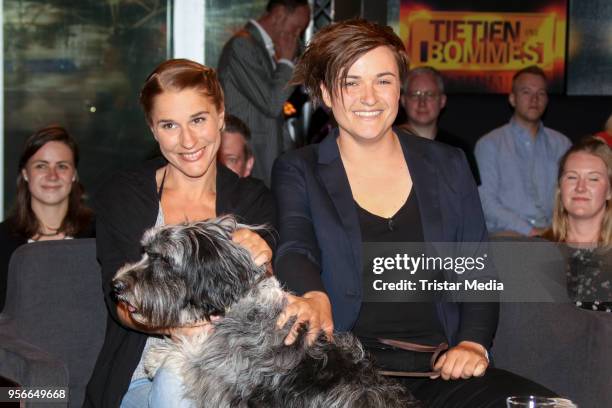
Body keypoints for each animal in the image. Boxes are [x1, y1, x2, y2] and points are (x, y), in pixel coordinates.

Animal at [112, 215, 420, 406]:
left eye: (162, 259)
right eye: (144, 251)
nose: (115, 285)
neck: (238, 302)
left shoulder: (219, 384)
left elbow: (192, 358)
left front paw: (161, 355)